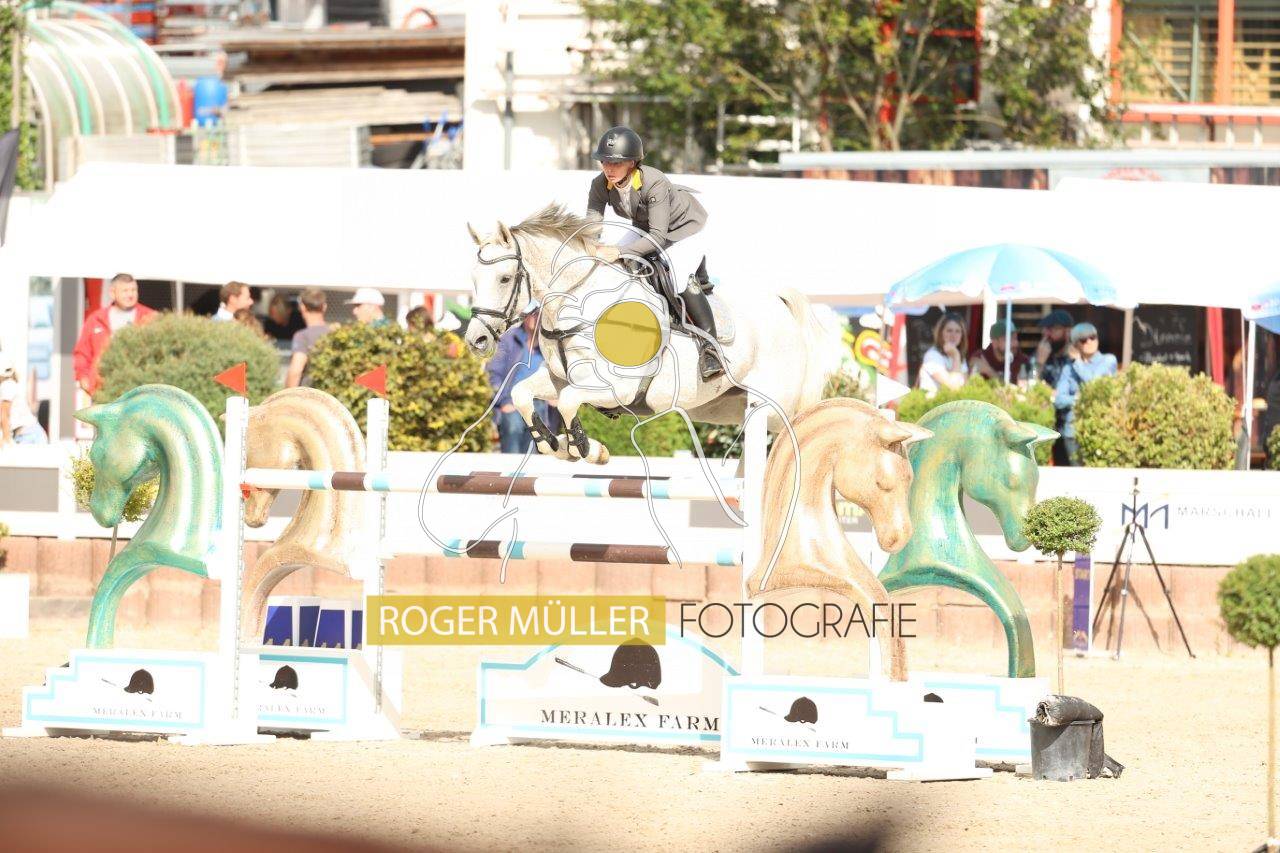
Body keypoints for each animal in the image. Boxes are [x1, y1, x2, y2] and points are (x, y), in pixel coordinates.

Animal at [463, 204, 846, 464]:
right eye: (473, 279)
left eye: (505, 279)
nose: (476, 340)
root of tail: (779, 304)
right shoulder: (557, 379)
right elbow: (522, 393)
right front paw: (553, 445)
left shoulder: (616, 388)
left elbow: (570, 401)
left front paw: (587, 449)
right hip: (724, 409)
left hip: (776, 408)